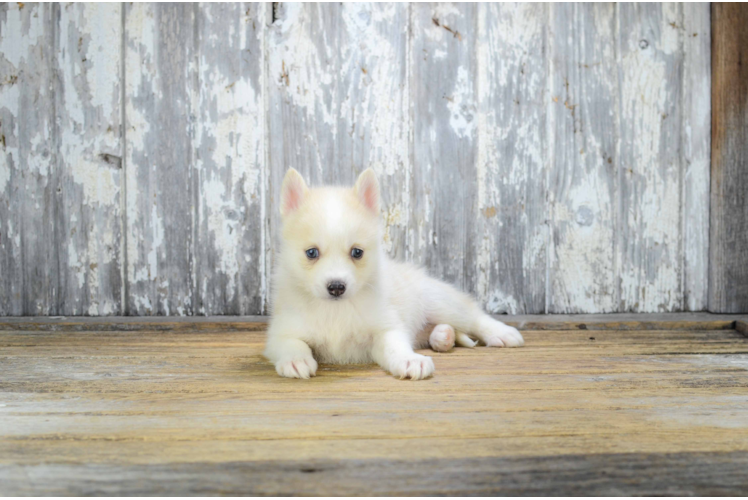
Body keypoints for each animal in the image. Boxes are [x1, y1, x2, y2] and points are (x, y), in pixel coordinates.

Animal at [266, 168, 524, 378]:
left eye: (357, 252)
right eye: (311, 252)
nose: (337, 287)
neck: (335, 311)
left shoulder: (386, 327)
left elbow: (396, 347)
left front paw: (410, 360)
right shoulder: (281, 332)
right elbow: (293, 344)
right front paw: (295, 360)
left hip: (440, 301)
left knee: (474, 316)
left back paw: (501, 333)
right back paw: (443, 336)